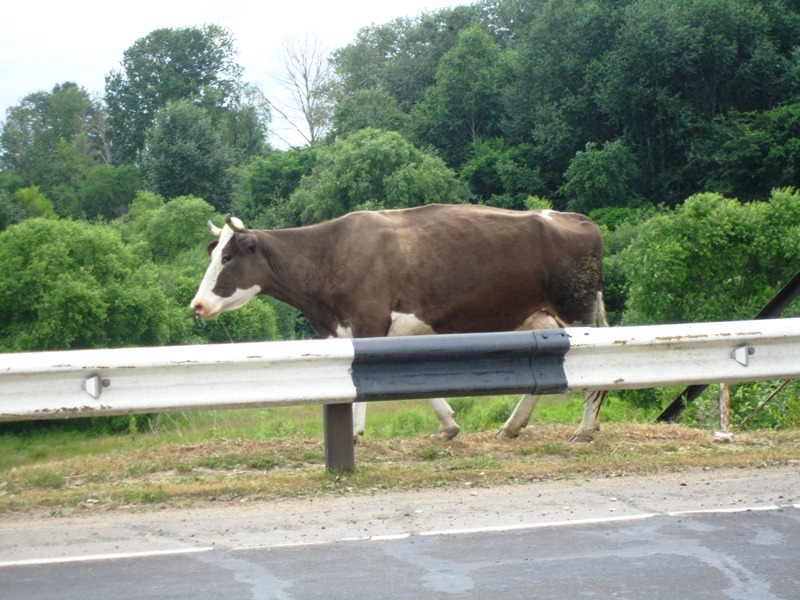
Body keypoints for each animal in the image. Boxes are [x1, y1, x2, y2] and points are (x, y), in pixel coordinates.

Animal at [191, 203, 609, 442]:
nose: (197, 304)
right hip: (541, 317)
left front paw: (354, 432)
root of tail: (578, 218)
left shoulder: (368, 323)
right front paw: (449, 425)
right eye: (214, 253)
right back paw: (512, 426)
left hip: (577, 311)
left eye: (228, 257)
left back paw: (584, 431)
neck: (328, 256)